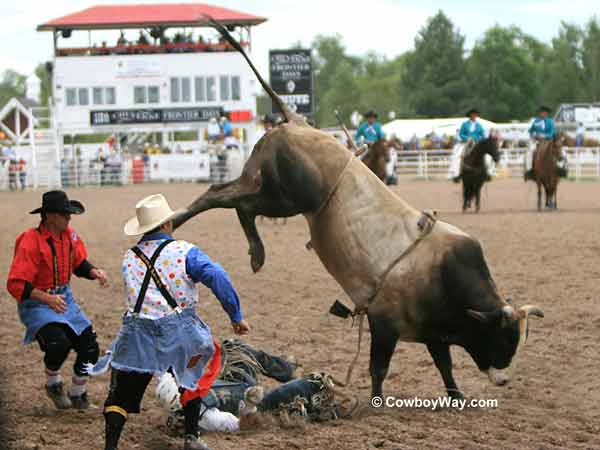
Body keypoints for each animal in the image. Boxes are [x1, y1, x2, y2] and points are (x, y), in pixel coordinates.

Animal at [173, 17, 544, 400]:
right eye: (502, 339)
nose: (504, 379)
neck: (444, 274)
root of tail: (296, 121)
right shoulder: (383, 325)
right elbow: (379, 367)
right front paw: (376, 400)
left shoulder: (434, 333)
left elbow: (445, 365)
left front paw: (457, 396)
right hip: (283, 197)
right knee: (225, 198)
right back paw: (191, 228)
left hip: (267, 187)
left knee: (231, 199)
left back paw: (252, 252)